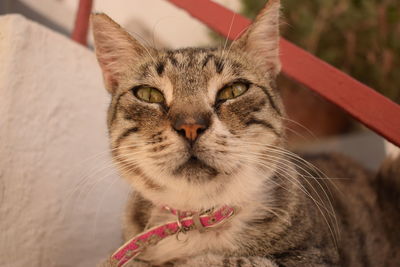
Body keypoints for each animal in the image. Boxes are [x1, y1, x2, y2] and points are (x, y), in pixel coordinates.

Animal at [90, 1, 400, 266]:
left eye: (233, 90)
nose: (190, 125)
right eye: (148, 94)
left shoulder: (312, 257)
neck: (201, 222)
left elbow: (235, 261)